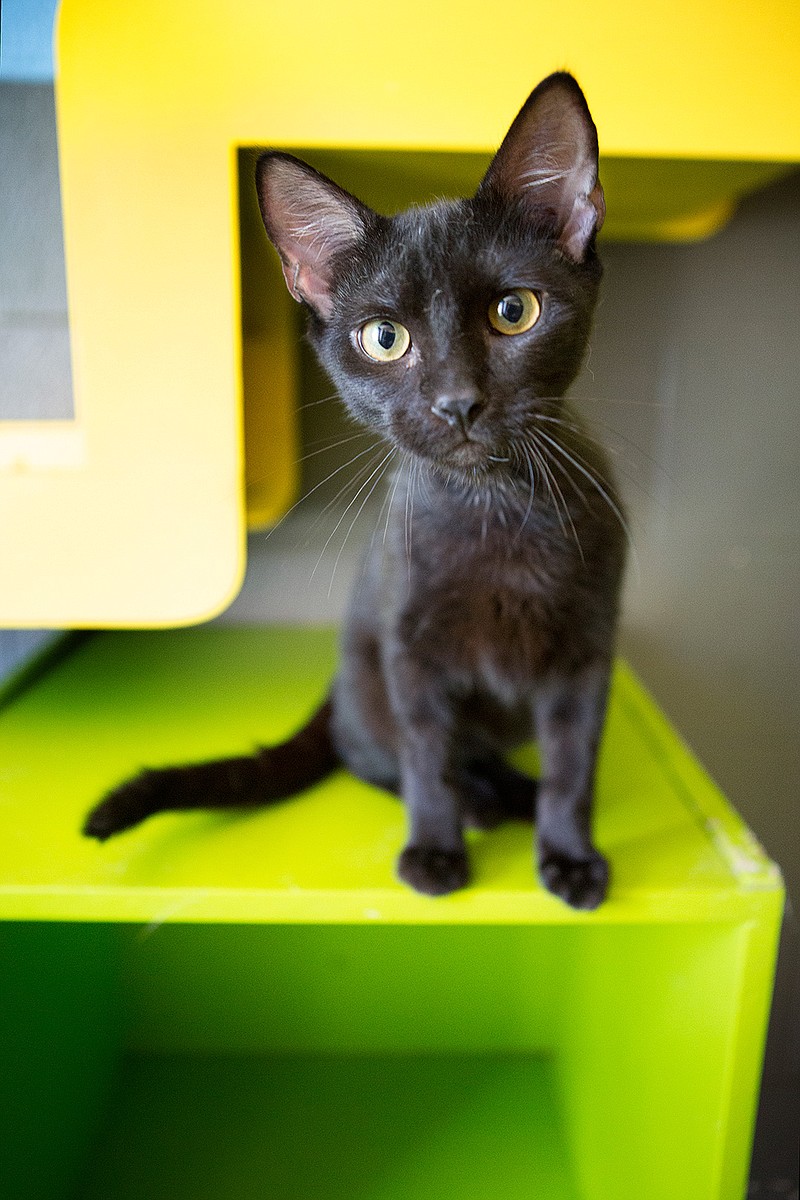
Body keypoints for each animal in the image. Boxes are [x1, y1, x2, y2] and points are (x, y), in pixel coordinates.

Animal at [86, 72, 623, 907]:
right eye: (384, 338)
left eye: (515, 312)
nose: (458, 402)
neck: (492, 510)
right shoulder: (411, 655)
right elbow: (425, 761)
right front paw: (434, 849)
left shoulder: (588, 654)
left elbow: (574, 764)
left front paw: (568, 854)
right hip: (371, 678)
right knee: (379, 757)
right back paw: (486, 799)